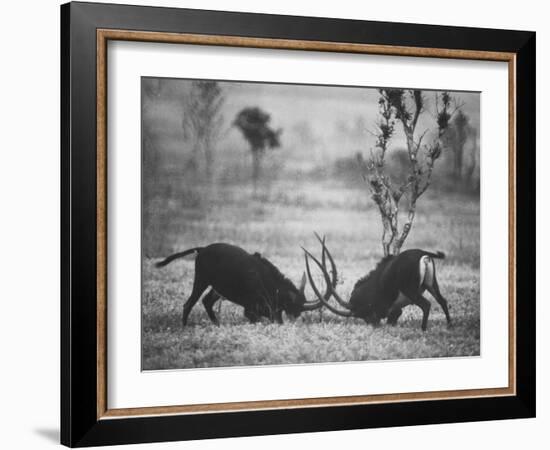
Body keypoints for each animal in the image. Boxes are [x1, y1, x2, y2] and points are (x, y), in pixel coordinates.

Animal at [304, 236, 454, 330]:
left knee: (426, 305)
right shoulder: (394, 310)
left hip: (411, 291)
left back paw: (423, 329)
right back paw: (449, 325)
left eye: (363, 313)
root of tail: (422, 253)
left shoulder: (387, 309)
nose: (373, 323)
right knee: (442, 301)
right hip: (431, 285)